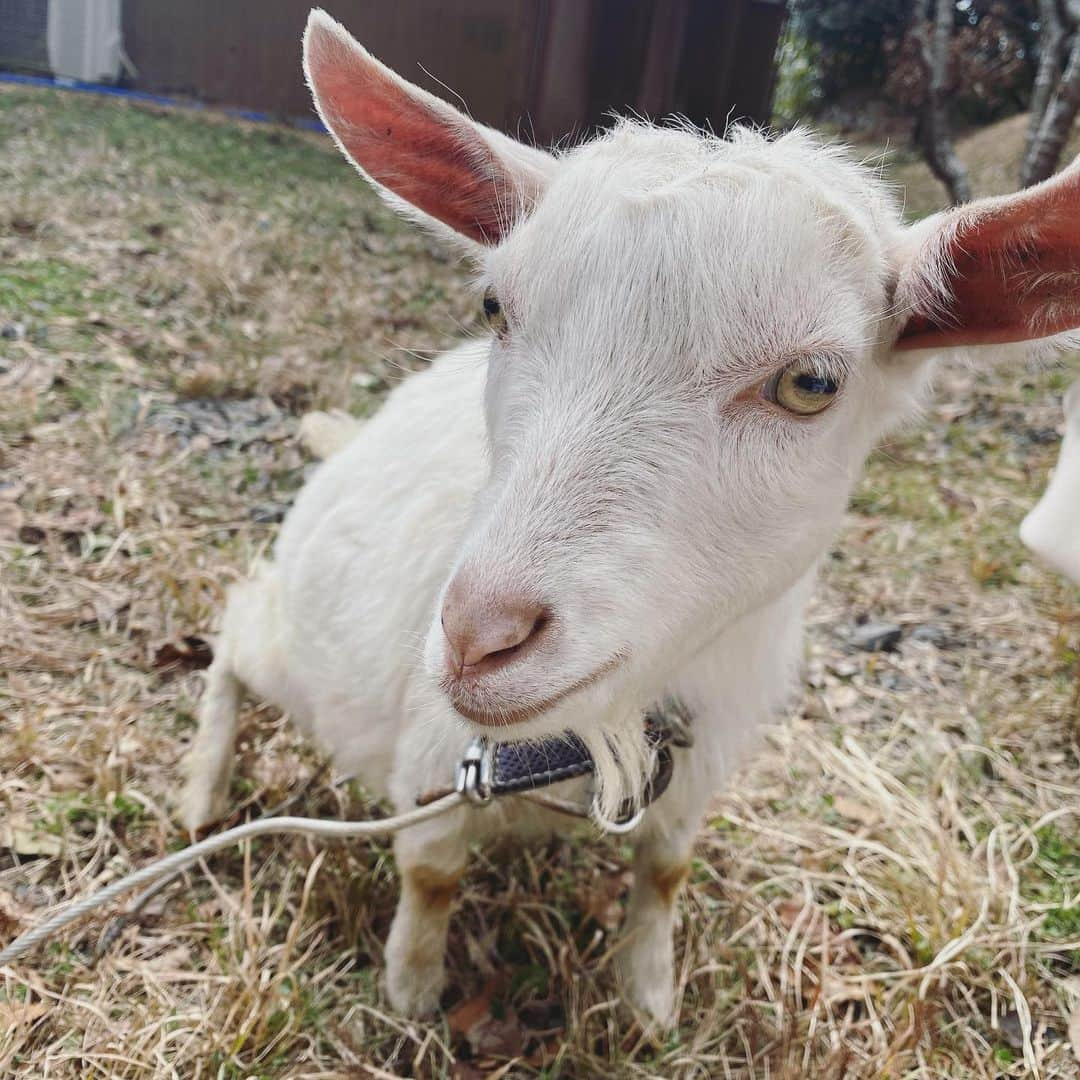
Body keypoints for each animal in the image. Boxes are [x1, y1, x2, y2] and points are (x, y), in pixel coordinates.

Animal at [181, 8, 1080, 1019]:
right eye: (495, 304)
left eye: (812, 383)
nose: (478, 635)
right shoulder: (432, 762)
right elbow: (431, 877)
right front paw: (412, 997)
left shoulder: (703, 762)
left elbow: (665, 872)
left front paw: (649, 998)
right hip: (304, 659)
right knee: (235, 630)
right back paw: (203, 790)